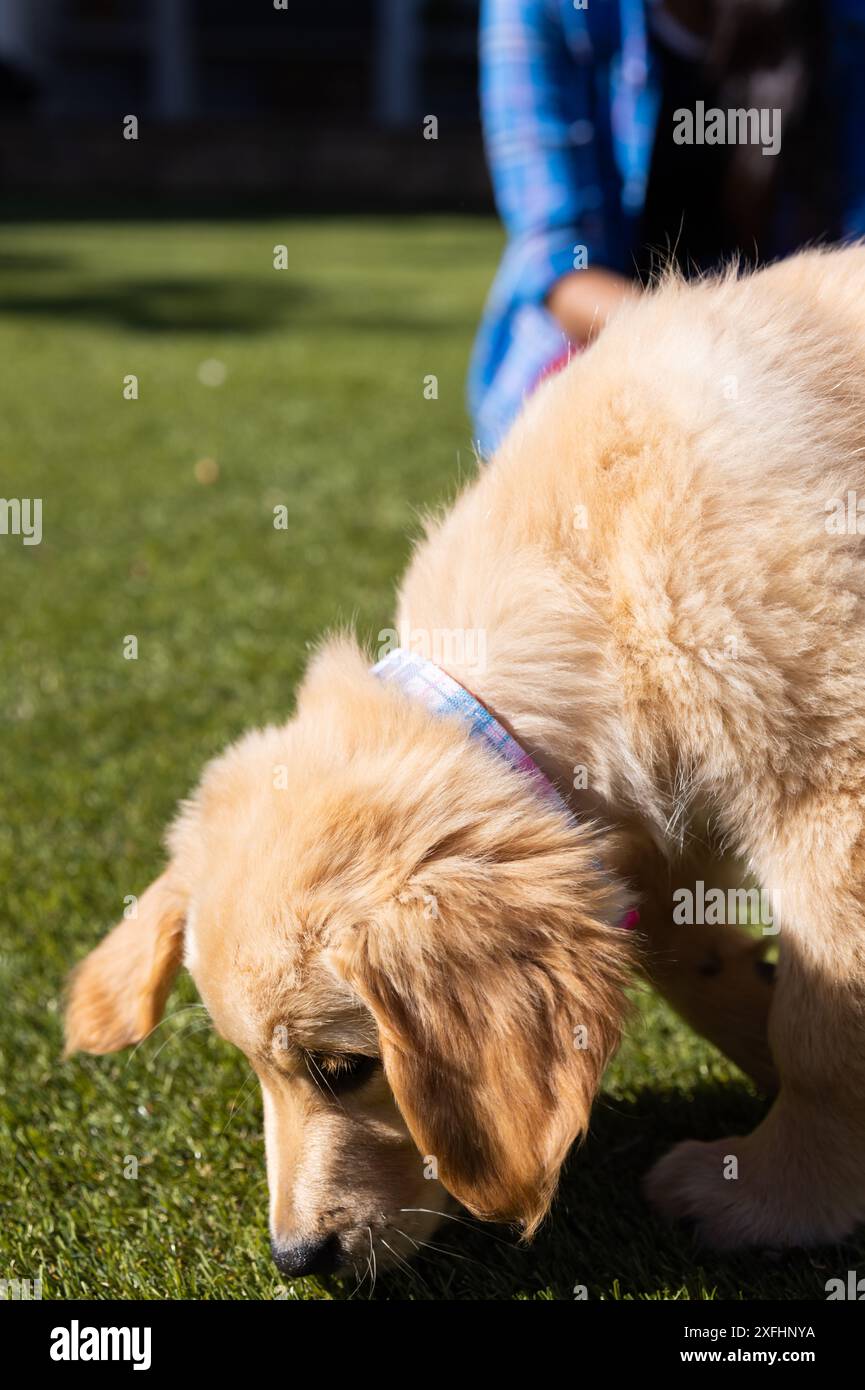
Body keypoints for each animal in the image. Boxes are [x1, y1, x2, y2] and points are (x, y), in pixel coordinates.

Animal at [66, 247, 865, 1273]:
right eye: (251, 1066)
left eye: (345, 1068)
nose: (295, 1261)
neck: (599, 584)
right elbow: (696, 962)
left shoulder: (830, 791)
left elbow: (822, 1031)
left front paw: (774, 1195)